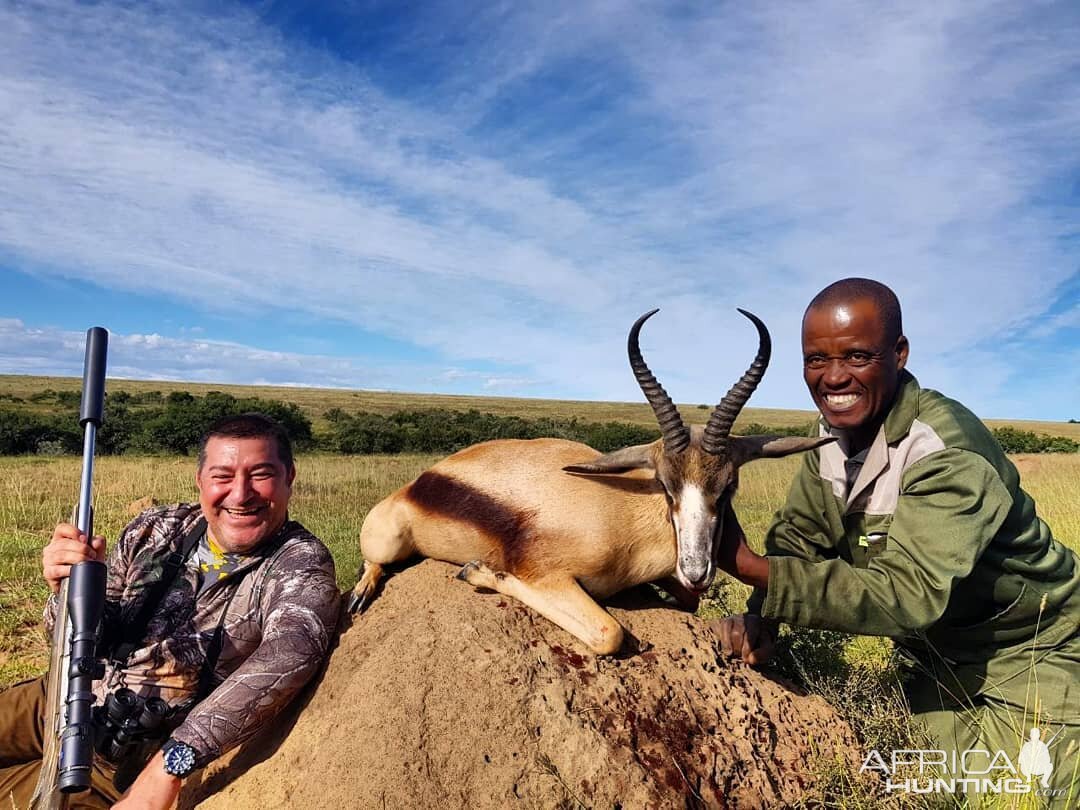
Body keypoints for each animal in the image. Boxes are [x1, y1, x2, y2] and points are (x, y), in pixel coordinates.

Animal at [349, 306, 829, 656]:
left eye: (728, 486)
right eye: (665, 485)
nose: (696, 570)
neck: (623, 517)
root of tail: (416, 484)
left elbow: (684, 604)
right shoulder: (547, 575)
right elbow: (608, 634)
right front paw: (480, 571)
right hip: (389, 540)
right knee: (373, 563)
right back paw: (360, 594)